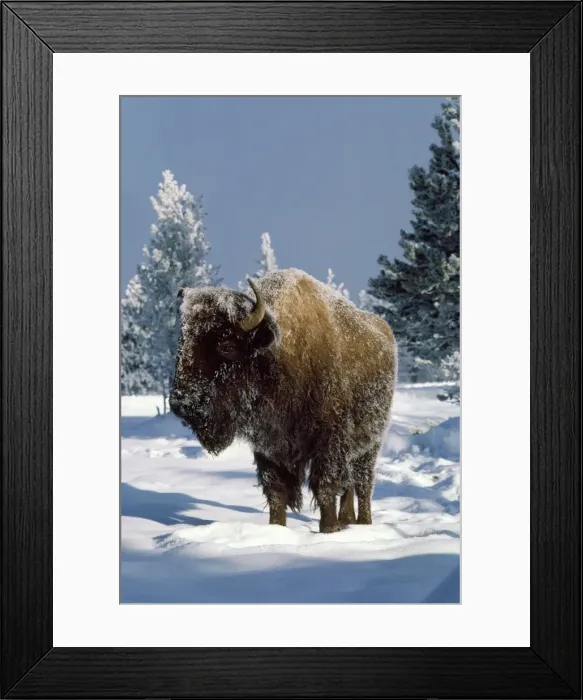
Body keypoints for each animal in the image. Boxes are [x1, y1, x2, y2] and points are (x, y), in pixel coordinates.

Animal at [169, 268, 397, 533]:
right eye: (183, 343)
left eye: (226, 346)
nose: (181, 403)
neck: (278, 358)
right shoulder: (268, 447)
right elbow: (276, 493)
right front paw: (277, 529)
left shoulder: (329, 441)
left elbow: (325, 487)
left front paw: (329, 530)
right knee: (349, 485)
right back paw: (348, 520)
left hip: (371, 444)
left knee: (363, 484)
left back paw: (363, 522)